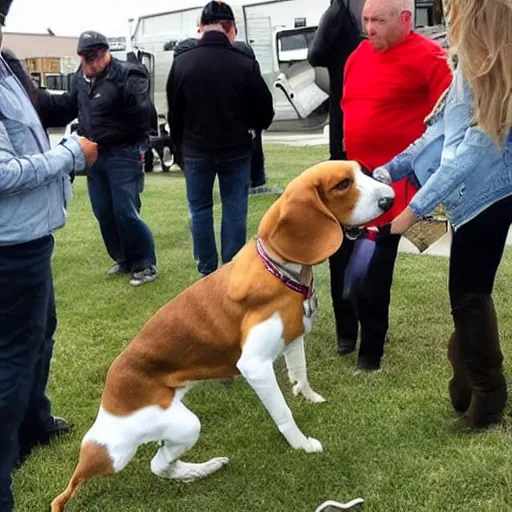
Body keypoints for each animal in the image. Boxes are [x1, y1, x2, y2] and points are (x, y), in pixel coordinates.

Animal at [52, 162, 394, 510]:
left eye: (363, 172)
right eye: (343, 184)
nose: (390, 199)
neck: (279, 269)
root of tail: (110, 398)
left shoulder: (294, 336)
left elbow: (300, 371)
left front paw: (308, 395)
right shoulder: (255, 366)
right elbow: (283, 412)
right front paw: (301, 444)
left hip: (175, 426)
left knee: (160, 464)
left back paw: (201, 469)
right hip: (145, 440)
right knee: (121, 472)